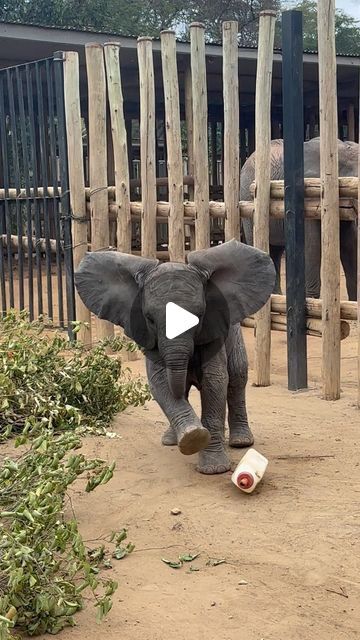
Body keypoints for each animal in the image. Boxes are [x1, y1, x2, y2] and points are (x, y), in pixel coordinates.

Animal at [74, 240, 274, 476]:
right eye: (150, 319)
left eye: (198, 316)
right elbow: (160, 382)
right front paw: (193, 437)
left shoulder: (214, 329)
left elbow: (215, 381)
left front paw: (214, 468)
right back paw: (170, 440)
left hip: (234, 333)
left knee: (236, 377)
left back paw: (241, 442)